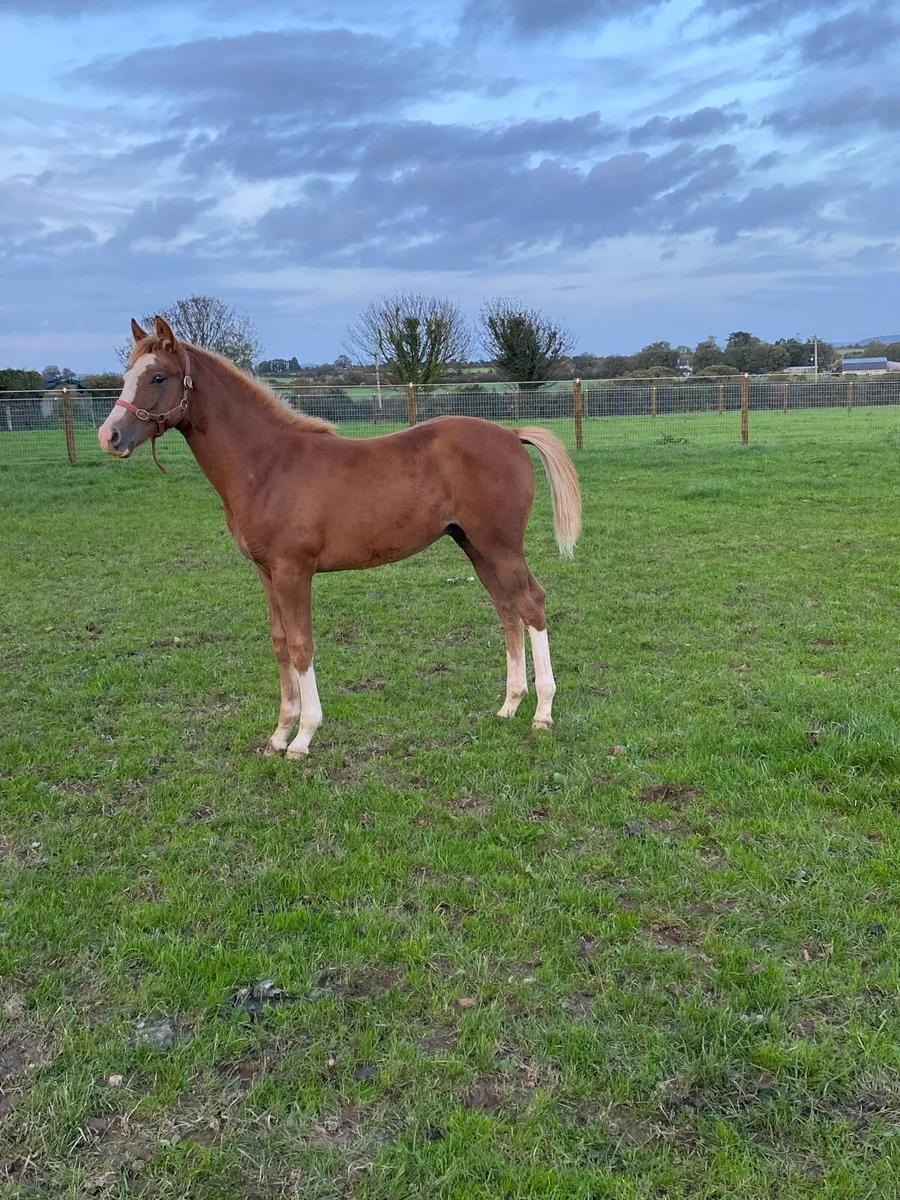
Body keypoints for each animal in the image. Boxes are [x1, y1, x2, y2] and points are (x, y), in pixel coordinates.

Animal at [98, 316, 582, 758]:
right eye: (126, 374)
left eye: (158, 376)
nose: (110, 436)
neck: (268, 465)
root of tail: (511, 434)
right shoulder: (266, 572)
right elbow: (280, 644)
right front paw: (279, 734)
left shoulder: (294, 571)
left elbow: (301, 646)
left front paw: (303, 738)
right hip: (475, 546)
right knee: (507, 610)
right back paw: (509, 705)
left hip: (501, 546)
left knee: (531, 605)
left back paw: (542, 713)